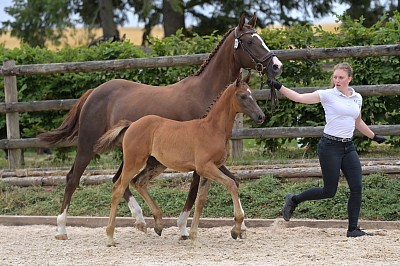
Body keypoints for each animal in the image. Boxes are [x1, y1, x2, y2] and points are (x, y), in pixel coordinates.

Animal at [93, 72, 262, 245]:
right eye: (242, 96)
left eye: (253, 95)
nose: (260, 116)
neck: (213, 129)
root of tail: (132, 124)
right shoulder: (205, 167)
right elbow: (231, 185)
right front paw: (236, 229)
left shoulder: (208, 170)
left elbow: (200, 200)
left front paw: (193, 235)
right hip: (133, 162)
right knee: (118, 188)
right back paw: (110, 236)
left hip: (156, 164)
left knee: (138, 182)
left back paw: (158, 224)